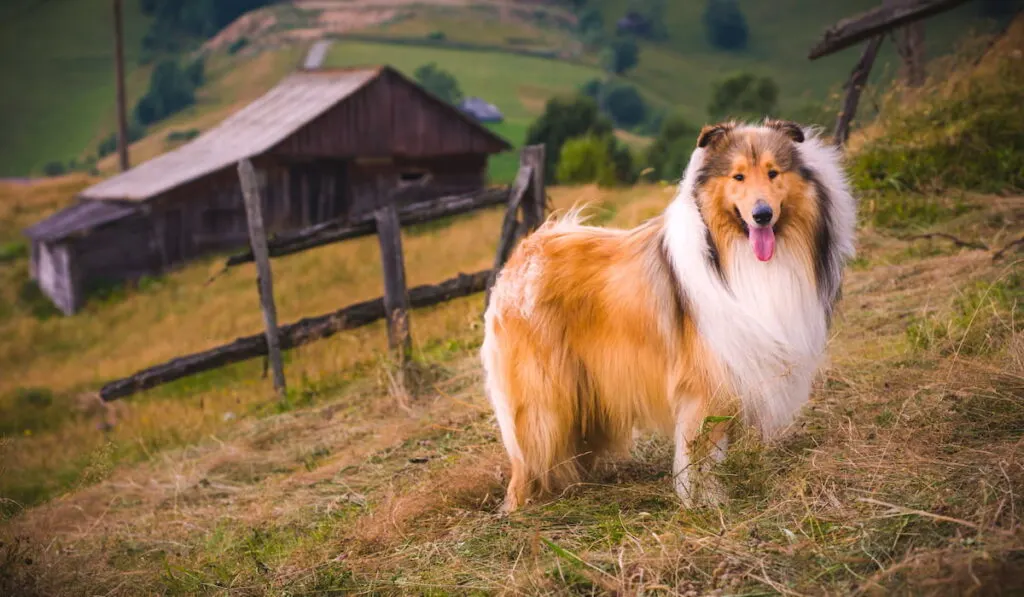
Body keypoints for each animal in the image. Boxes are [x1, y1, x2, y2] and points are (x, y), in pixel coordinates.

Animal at [479, 119, 856, 512]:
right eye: (737, 176)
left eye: (773, 172)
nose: (762, 215)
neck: (733, 255)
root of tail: (523, 253)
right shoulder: (705, 380)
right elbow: (702, 449)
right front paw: (704, 501)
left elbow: (714, 446)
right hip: (541, 399)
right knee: (526, 456)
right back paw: (517, 507)